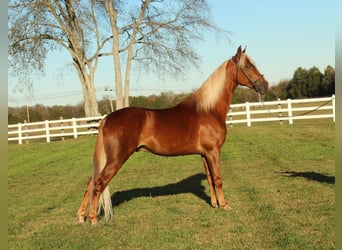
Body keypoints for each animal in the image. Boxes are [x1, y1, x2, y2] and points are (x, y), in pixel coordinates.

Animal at [77, 46, 268, 224]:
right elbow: (218, 178)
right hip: (116, 159)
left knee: (90, 181)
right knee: (99, 182)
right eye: (247, 65)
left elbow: (210, 179)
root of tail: (106, 118)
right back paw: (93, 218)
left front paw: (214, 204)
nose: (264, 85)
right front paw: (225, 205)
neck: (209, 109)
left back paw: (81, 217)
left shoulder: (204, 154)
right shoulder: (213, 151)